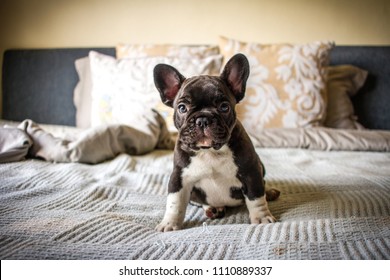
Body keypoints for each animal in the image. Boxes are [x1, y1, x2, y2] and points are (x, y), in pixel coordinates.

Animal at [154, 53, 278, 232]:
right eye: (182, 108)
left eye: (224, 107)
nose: (203, 119)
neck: (209, 151)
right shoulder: (179, 177)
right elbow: (175, 203)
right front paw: (169, 224)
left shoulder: (251, 172)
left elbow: (256, 198)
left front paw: (261, 218)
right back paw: (212, 208)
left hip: (261, 166)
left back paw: (270, 192)